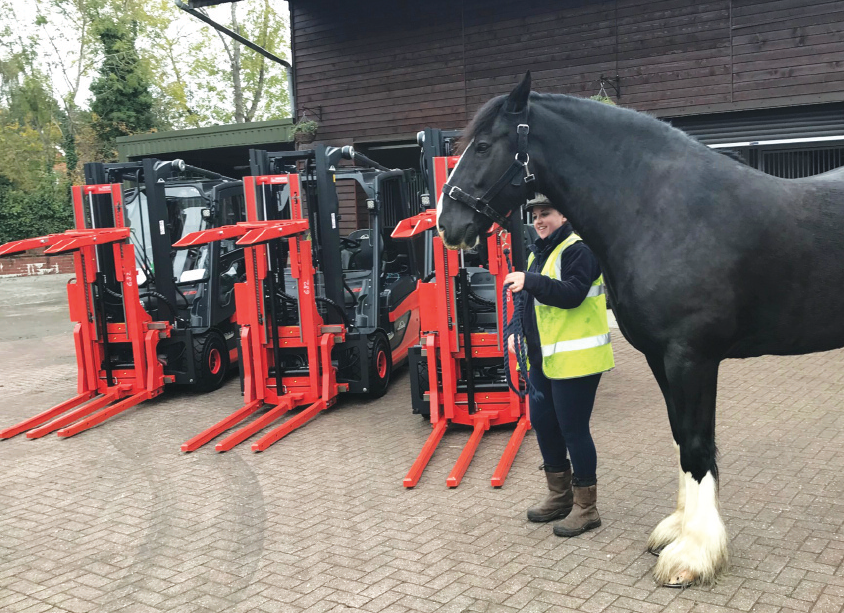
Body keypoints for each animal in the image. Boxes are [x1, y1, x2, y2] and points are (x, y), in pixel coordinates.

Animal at [436, 71, 844, 584]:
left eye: (485, 145)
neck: (659, 210)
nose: (445, 223)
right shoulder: (658, 356)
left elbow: (696, 445)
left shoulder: (691, 358)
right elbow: (679, 437)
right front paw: (677, 530)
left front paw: (694, 555)